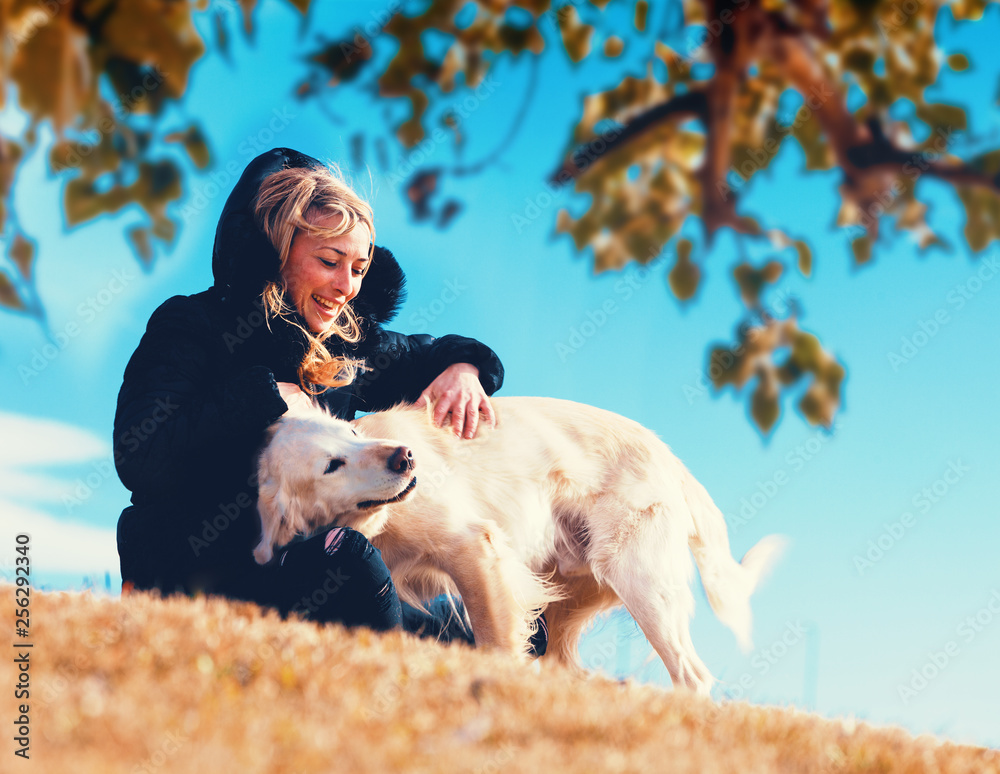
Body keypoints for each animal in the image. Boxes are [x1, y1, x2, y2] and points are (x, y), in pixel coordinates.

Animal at [252, 400, 780, 696]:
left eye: (354, 433)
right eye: (332, 464)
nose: (406, 457)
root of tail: (667, 454)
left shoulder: (475, 549)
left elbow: (495, 641)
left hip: (642, 585)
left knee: (692, 677)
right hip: (568, 603)